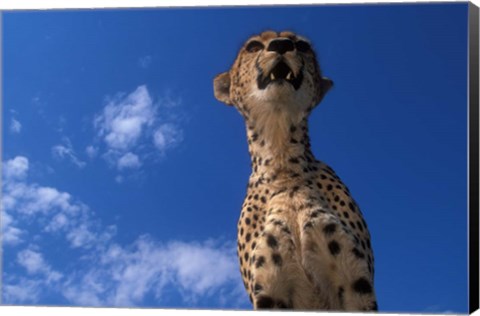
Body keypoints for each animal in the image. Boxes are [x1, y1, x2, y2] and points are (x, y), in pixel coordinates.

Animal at [215, 30, 378, 312]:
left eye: (301, 46)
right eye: (253, 46)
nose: (281, 45)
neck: (283, 165)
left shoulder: (355, 281)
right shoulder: (271, 291)